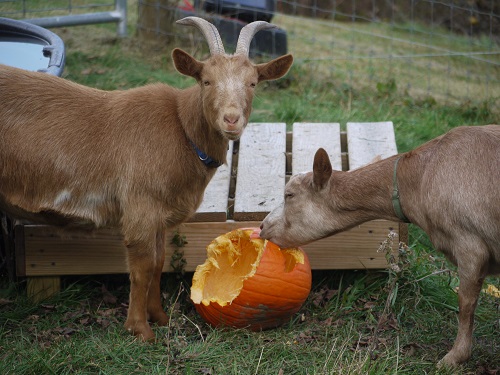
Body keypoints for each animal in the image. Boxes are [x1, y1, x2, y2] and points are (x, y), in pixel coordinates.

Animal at [0, 16, 292, 340]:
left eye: (252, 83)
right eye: (206, 80)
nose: (231, 119)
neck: (181, 129)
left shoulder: (159, 216)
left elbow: (159, 262)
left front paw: (160, 317)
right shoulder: (140, 208)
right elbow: (143, 268)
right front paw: (140, 329)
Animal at [262, 125, 500, 368]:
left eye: (289, 195)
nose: (263, 226)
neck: (419, 178)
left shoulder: (470, 246)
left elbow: (465, 303)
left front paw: (454, 357)